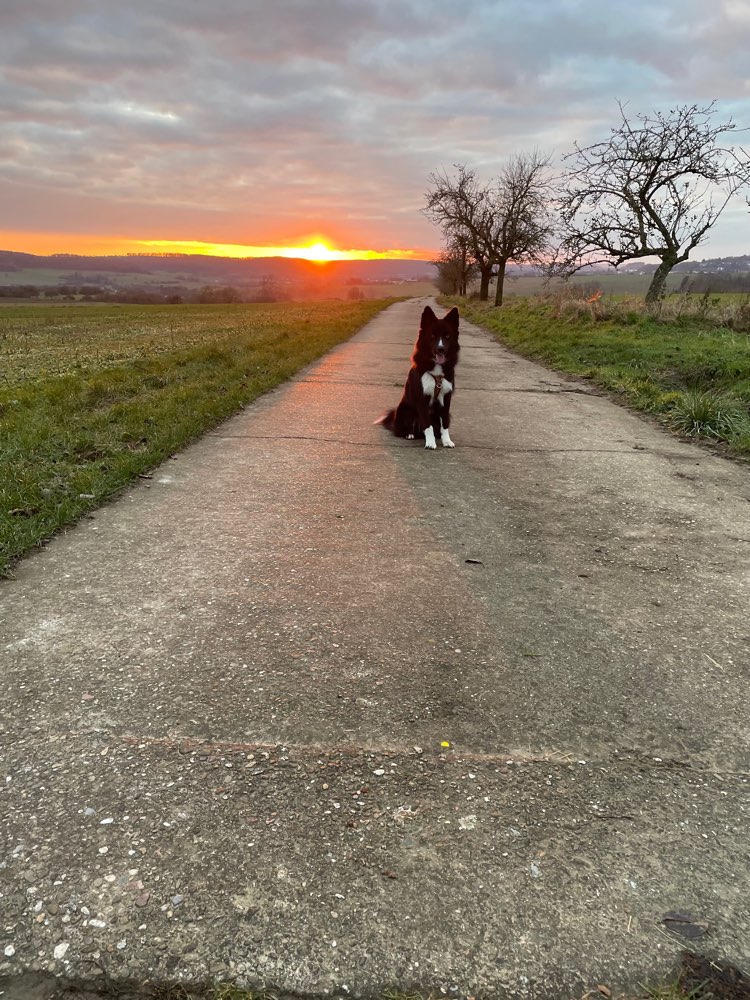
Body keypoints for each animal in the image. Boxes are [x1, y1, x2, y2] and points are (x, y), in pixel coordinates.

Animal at [378, 302, 462, 448]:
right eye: (433, 335)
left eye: (447, 336)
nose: (441, 349)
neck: (436, 372)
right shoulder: (422, 399)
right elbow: (427, 425)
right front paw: (430, 443)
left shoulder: (446, 398)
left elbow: (444, 423)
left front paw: (447, 441)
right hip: (405, 410)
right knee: (403, 430)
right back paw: (409, 434)